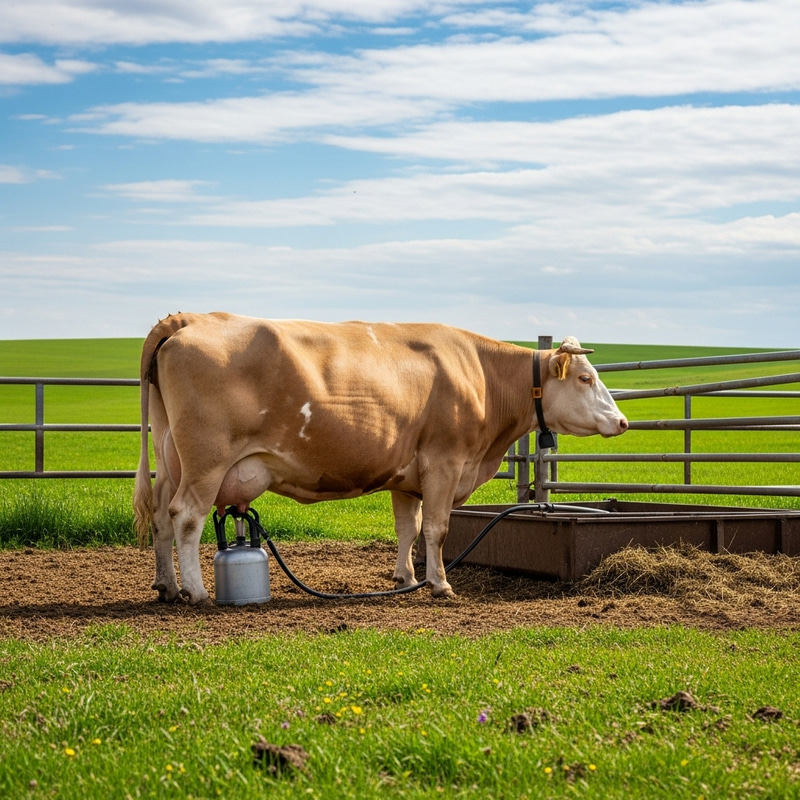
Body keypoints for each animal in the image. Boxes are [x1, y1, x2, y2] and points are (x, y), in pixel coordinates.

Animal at [133, 313, 628, 604]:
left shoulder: (407, 475)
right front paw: (440, 584)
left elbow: (407, 528)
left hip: (170, 458)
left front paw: (404, 579)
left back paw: (167, 586)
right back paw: (197, 592)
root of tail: (187, 322)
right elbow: (437, 529)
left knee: (160, 516)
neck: (482, 376)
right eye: (585, 378)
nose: (622, 421)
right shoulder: (444, 462)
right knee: (186, 517)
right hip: (206, 461)